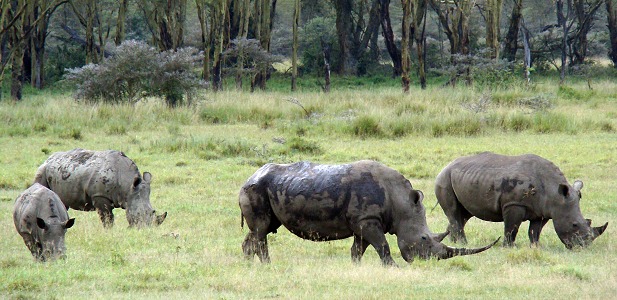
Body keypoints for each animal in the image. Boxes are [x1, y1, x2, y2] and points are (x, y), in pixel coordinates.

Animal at [34, 149, 166, 229]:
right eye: (139, 214)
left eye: (152, 211)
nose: (145, 229)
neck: (128, 188)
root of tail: (48, 158)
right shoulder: (100, 196)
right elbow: (107, 218)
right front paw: (109, 231)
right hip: (42, 170)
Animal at [238, 161, 498, 266]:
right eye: (424, 239)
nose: (430, 262)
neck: (400, 202)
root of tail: (248, 177)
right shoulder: (367, 220)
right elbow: (383, 246)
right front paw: (393, 268)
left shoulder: (363, 221)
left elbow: (358, 249)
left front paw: (355, 267)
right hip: (256, 189)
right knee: (261, 229)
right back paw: (266, 265)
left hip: (264, 189)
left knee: (260, 229)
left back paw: (252, 265)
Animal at [434, 152, 608, 248]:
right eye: (574, 225)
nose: (584, 246)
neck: (555, 194)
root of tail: (446, 165)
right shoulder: (514, 204)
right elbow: (512, 228)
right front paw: (509, 247)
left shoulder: (542, 210)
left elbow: (535, 232)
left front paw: (535, 247)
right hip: (444, 179)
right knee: (454, 212)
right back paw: (463, 244)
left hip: (464, 177)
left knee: (463, 215)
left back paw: (453, 243)